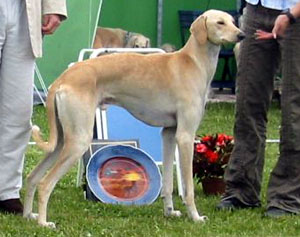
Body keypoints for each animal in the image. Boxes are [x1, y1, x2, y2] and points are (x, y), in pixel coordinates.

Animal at [23, 9, 244, 228]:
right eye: (220, 22)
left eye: (233, 21)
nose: (241, 35)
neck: (193, 62)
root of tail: (62, 79)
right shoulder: (186, 136)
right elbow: (188, 188)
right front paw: (196, 217)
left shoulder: (169, 134)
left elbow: (167, 182)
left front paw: (169, 212)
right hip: (78, 140)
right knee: (45, 184)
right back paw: (43, 222)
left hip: (62, 140)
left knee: (32, 177)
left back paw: (28, 215)